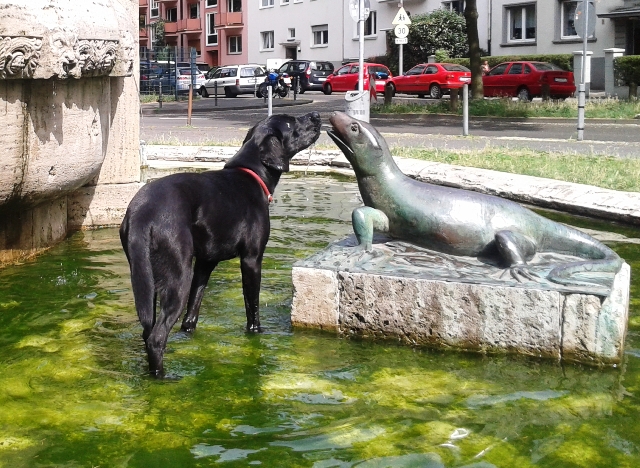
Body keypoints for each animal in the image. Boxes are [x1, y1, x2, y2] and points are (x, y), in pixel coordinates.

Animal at [119, 112, 320, 376]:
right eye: (290, 122)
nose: (317, 116)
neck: (251, 173)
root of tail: (142, 213)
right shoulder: (252, 260)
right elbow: (252, 307)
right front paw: (256, 333)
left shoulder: (205, 263)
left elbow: (192, 311)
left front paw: (189, 333)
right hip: (178, 277)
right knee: (156, 338)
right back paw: (164, 377)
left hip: (146, 279)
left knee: (148, 330)